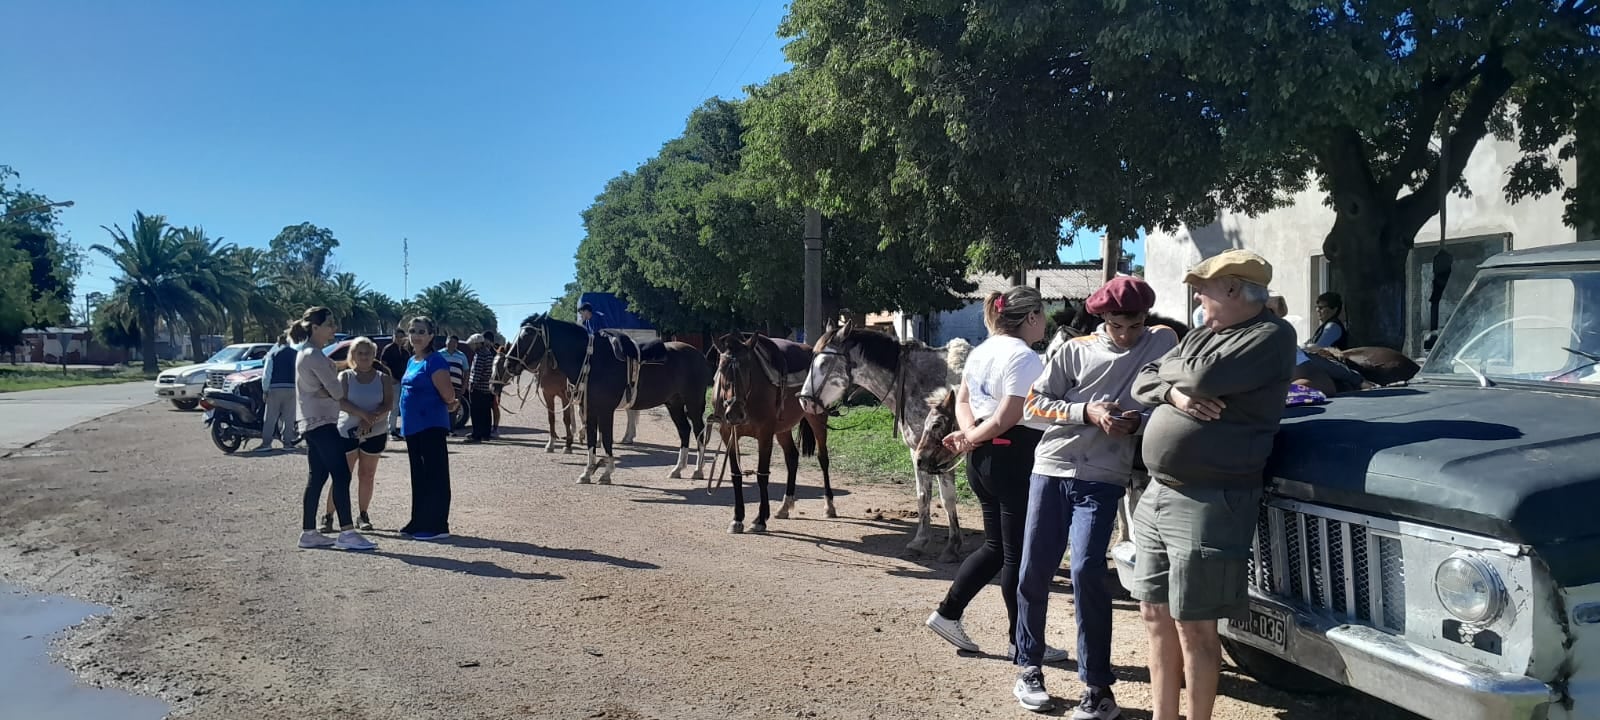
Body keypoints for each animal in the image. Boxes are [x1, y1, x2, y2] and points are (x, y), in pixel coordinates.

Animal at [502, 313, 710, 483]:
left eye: (528, 335)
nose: (508, 365)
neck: (591, 361)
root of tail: (699, 355)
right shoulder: (590, 408)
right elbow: (591, 439)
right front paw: (587, 472)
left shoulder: (605, 409)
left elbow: (607, 438)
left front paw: (606, 472)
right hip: (673, 403)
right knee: (684, 431)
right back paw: (677, 469)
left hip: (692, 402)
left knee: (698, 431)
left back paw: (698, 471)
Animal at [713, 331, 838, 534]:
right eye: (722, 369)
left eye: (748, 370)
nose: (735, 413)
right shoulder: (728, 434)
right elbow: (736, 475)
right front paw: (737, 518)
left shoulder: (765, 434)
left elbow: (762, 475)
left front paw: (760, 519)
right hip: (783, 429)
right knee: (792, 457)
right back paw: (785, 507)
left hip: (817, 419)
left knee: (823, 458)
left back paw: (829, 506)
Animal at [796, 320, 966, 563]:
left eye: (825, 362)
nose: (804, 401)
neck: (920, 381)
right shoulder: (920, 453)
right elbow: (923, 496)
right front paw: (920, 541)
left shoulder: (939, 453)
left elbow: (947, 498)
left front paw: (952, 546)